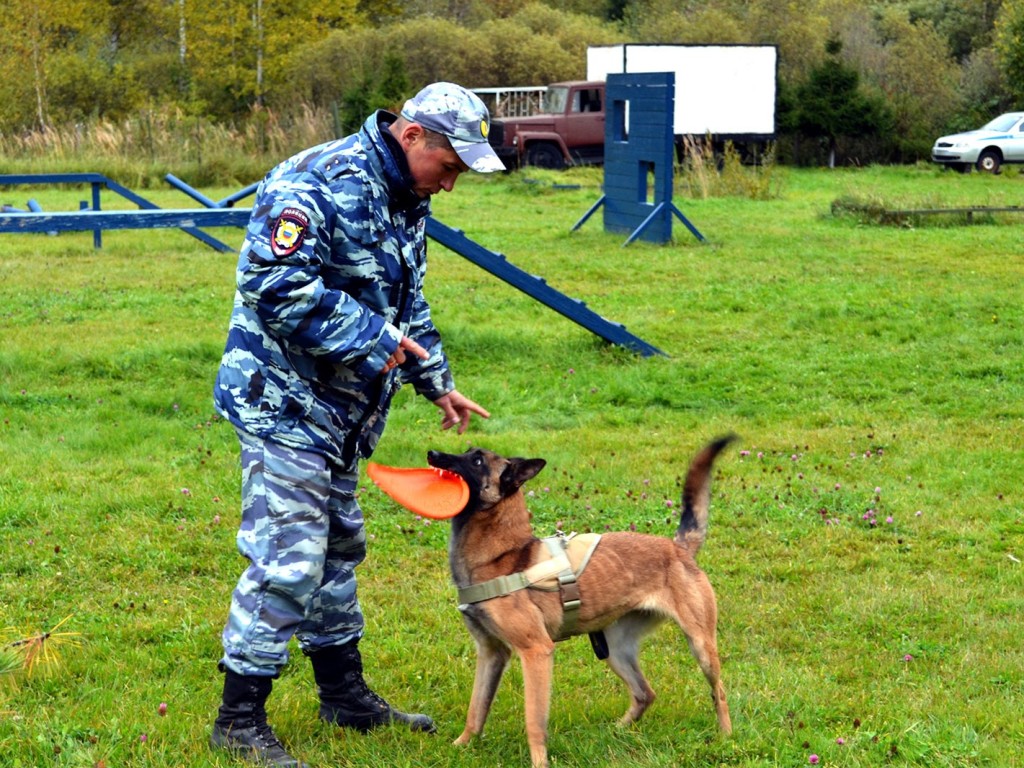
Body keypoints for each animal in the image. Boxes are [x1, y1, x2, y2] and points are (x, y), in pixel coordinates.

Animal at [425, 438, 737, 768]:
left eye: (477, 461)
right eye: (467, 451)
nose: (432, 453)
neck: (502, 557)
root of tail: (678, 547)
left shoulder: (536, 651)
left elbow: (534, 720)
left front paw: (539, 763)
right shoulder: (491, 653)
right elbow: (476, 709)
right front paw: (460, 746)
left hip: (701, 646)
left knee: (718, 692)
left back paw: (726, 738)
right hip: (616, 650)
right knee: (645, 693)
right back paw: (616, 731)